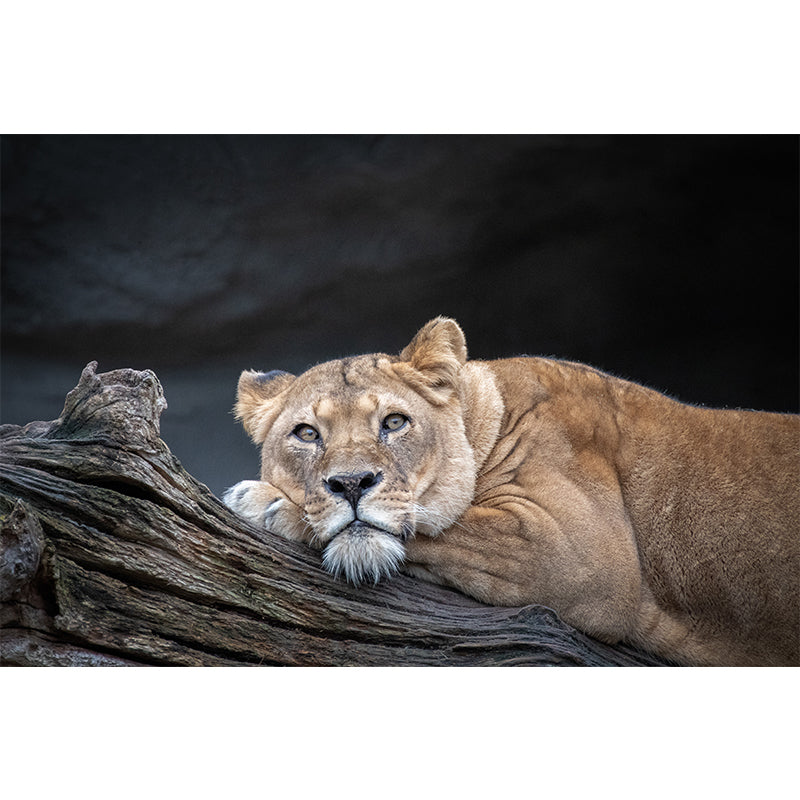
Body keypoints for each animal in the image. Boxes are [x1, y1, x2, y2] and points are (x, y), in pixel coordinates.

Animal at [224, 317, 799, 666]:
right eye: (306, 434)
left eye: (394, 422)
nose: (350, 484)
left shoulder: (579, 548)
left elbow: (447, 525)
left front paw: (266, 502)